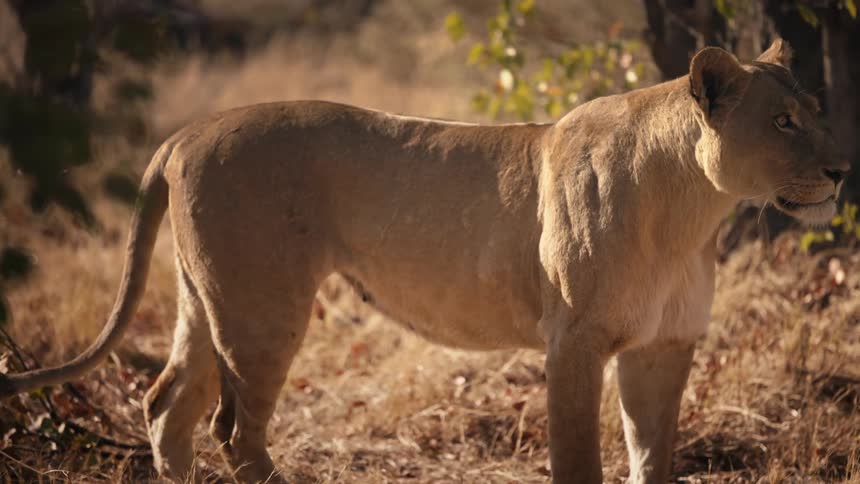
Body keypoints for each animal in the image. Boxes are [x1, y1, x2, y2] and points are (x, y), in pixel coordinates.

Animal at [0, 40, 847, 483]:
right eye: (782, 121)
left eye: (815, 111)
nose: (842, 170)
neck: (691, 212)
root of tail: (183, 134)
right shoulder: (574, 342)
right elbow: (580, 457)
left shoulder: (663, 348)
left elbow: (654, 458)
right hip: (262, 308)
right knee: (231, 430)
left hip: (202, 300)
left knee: (166, 404)